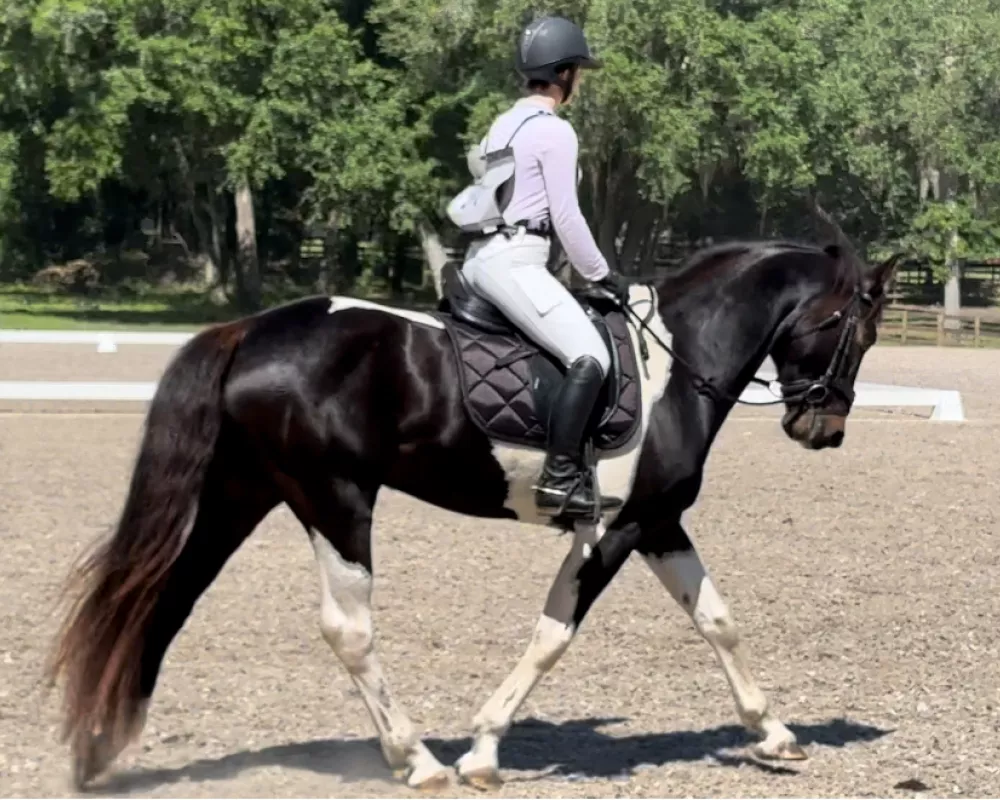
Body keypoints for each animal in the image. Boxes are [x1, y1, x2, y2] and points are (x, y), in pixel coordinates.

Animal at [48, 236, 900, 788]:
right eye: (856, 329)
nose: (822, 430)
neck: (677, 360)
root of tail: (249, 329)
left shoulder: (658, 522)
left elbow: (716, 619)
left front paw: (775, 734)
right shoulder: (614, 528)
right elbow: (555, 633)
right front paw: (484, 752)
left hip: (242, 493)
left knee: (167, 597)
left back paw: (100, 749)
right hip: (335, 497)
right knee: (347, 629)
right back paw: (417, 760)